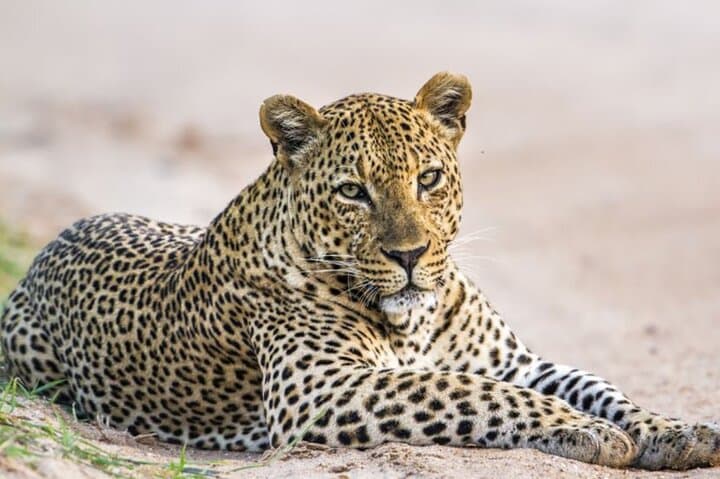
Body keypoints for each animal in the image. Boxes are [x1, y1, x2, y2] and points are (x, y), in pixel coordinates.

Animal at [1, 72, 718, 470]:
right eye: (353, 192)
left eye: (428, 179)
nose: (409, 256)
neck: (415, 321)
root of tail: (49, 244)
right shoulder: (321, 388)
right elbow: (468, 392)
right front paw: (585, 430)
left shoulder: (514, 361)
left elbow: (598, 386)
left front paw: (675, 431)